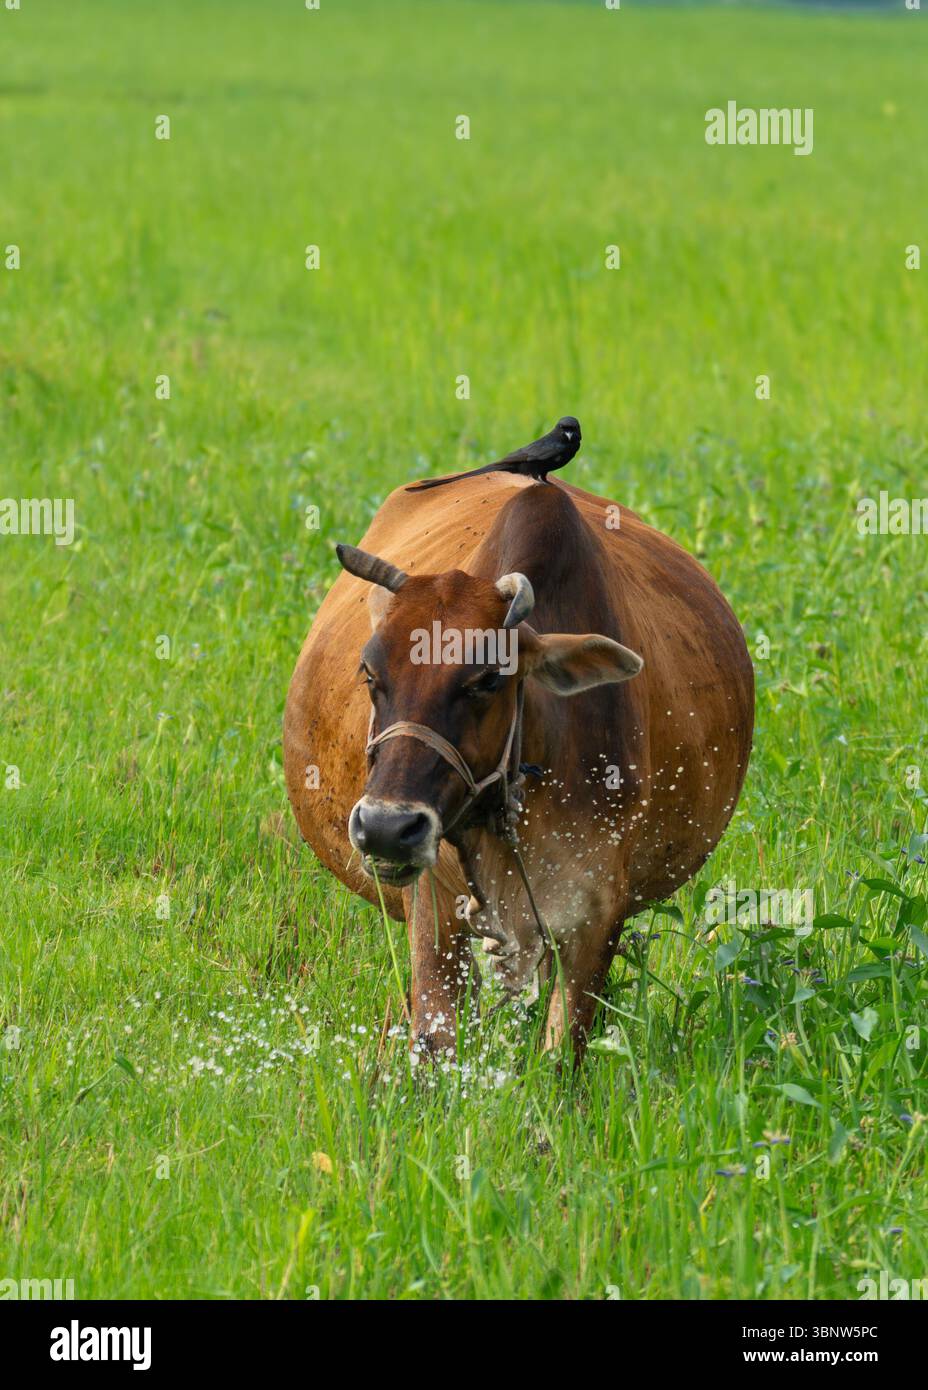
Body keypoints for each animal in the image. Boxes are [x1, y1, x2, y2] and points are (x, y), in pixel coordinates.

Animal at [283, 474, 754, 1062]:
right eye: (369, 672)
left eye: (488, 678)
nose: (387, 828)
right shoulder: (437, 909)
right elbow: (435, 1042)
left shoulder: (594, 917)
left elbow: (561, 1054)